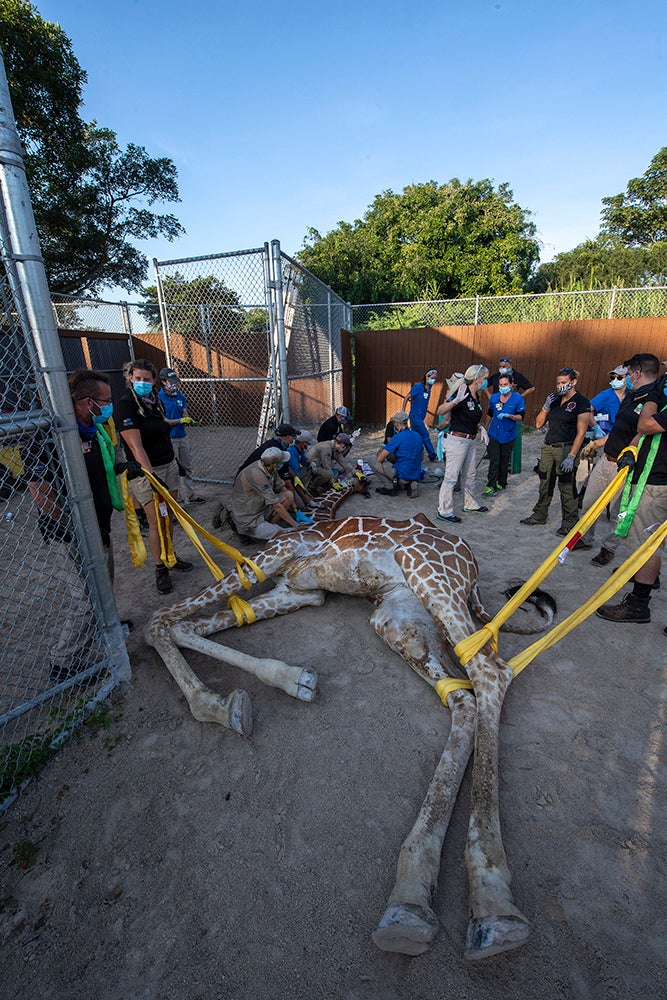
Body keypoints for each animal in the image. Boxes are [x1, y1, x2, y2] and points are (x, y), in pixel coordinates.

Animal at [145, 508, 554, 961]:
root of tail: (472, 565)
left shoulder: (279, 552)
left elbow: (159, 621)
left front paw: (216, 703)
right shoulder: (296, 591)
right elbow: (184, 628)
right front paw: (274, 687)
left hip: (429, 574)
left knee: (490, 671)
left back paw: (495, 907)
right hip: (399, 614)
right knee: (461, 696)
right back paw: (410, 899)